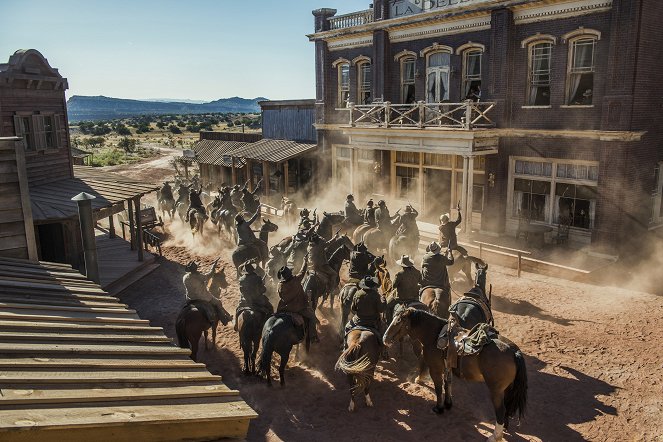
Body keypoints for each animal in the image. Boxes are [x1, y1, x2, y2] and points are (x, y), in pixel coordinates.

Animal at [384, 308, 528, 442]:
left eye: (398, 321)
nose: (385, 338)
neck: (433, 335)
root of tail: (513, 351)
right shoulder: (447, 367)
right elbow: (447, 385)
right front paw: (448, 404)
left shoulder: (436, 369)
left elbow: (438, 388)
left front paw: (439, 408)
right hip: (508, 388)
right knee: (507, 408)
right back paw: (504, 428)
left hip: (496, 390)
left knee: (501, 410)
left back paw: (495, 436)